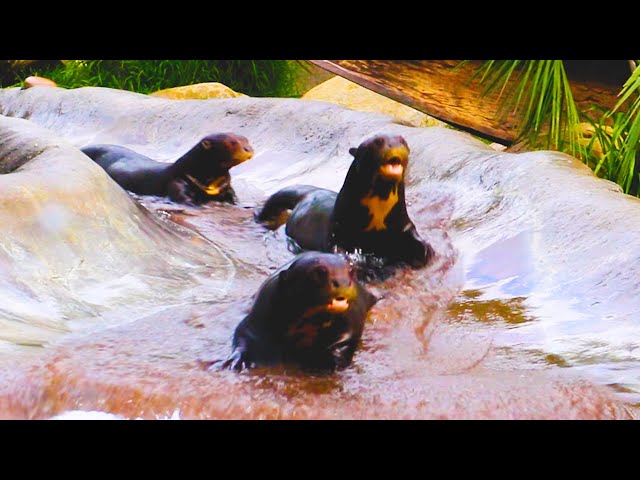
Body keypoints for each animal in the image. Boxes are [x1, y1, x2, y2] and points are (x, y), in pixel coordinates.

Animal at [81, 132, 254, 205]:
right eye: (231, 143)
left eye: (246, 140)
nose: (248, 149)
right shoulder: (177, 181)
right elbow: (183, 199)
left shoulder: (225, 186)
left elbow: (233, 197)